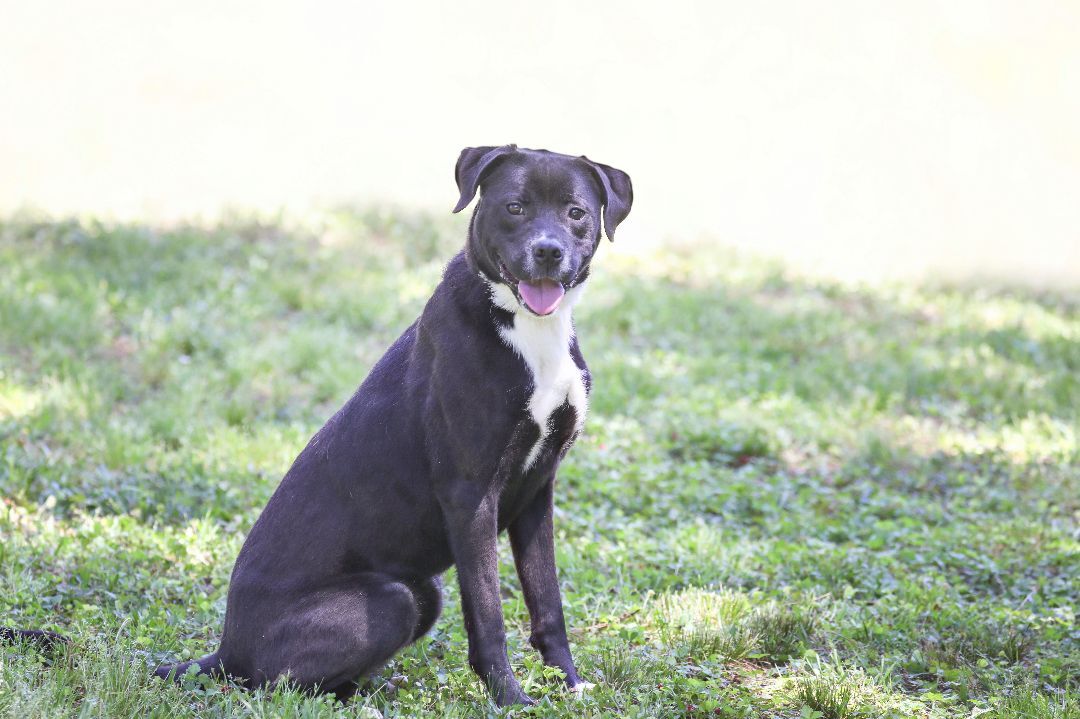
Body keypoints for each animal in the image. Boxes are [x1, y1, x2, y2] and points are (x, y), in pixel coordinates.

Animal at [0, 145, 630, 703]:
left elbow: (548, 603)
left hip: (420, 593)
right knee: (275, 685)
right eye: (514, 207)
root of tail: (225, 651)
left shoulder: (535, 492)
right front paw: (511, 698)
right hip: (395, 597)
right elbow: (489, 616)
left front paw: (569, 685)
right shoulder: (470, 495)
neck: (526, 329)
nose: (548, 252)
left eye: (576, 212)